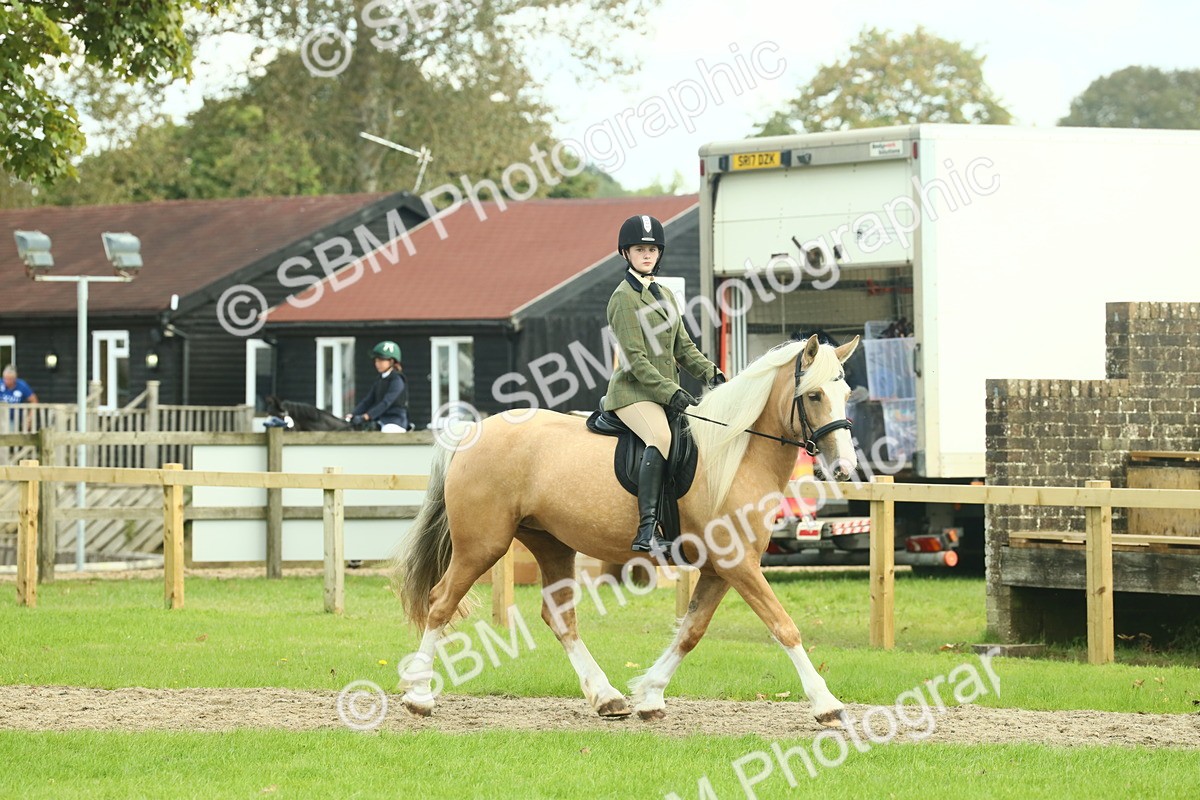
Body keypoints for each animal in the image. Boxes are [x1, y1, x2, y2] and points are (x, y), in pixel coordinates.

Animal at [391, 334, 860, 727]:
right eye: (814, 395)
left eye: (846, 395)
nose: (844, 468)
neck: (735, 455)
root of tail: (474, 431)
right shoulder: (738, 564)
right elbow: (784, 626)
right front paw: (827, 705)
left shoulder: (720, 569)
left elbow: (691, 632)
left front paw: (650, 696)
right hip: (482, 546)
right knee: (440, 602)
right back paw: (419, 697)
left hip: (551, 543)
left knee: (559, 616)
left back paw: (607, 697)